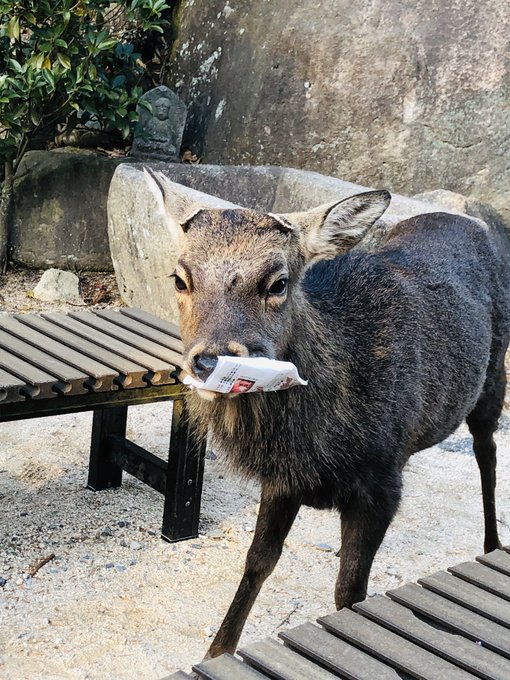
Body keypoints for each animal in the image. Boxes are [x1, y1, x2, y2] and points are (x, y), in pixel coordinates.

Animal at [144, 169, 510, 660]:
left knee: (488, 455)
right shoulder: (283, 479)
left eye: (278, 282)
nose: (210, 361)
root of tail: (470, 219)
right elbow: (258, 561)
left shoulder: (382, 483)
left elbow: (349, 594)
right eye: (180, 278)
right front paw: (216, 651)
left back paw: (491, 545)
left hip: (493, 378)